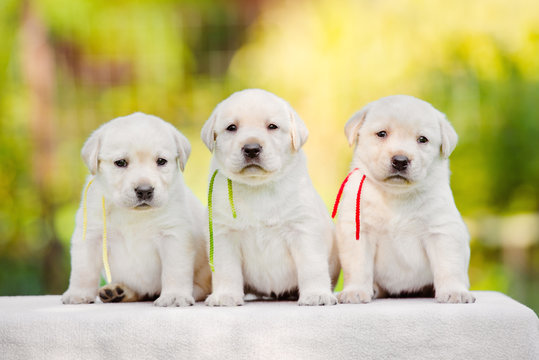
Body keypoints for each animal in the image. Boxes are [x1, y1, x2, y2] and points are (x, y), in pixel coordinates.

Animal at [60, 113, 210, 306]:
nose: (144, 190)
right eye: (120, 162)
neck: (133, 214)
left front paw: (174, 296)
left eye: (161, 161)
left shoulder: (174, 235)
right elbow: (83, 270)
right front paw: (78, 294)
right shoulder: (90, 235)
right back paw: (117, 291)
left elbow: (174, 270)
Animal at [200, 88, 340, 306]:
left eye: (272, 126)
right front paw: (225, 295)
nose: (251, 148)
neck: (258, 186)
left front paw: (316, 294)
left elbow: (312, 266)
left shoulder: (303, 229)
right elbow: (226, 270)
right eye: (232, 128)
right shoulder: (223, 234)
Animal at [338, 95, 476, 304]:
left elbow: (448, 265)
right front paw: (355, 291)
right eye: (382, 134)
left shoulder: (441, 230)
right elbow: (358, 265)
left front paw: (454, 291)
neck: (397, 195)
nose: (400, 160)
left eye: (422, 139)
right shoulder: (359, 230)